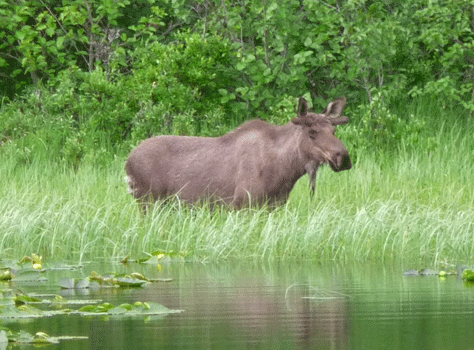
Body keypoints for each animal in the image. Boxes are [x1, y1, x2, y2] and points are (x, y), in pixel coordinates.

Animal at [126, 97, 352, 209]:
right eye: (312, 132)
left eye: (333, 130)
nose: (344, 158)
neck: (285, 172)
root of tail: (127, 164)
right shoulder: (241, 204)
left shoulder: (275, 206)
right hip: (148, 201)